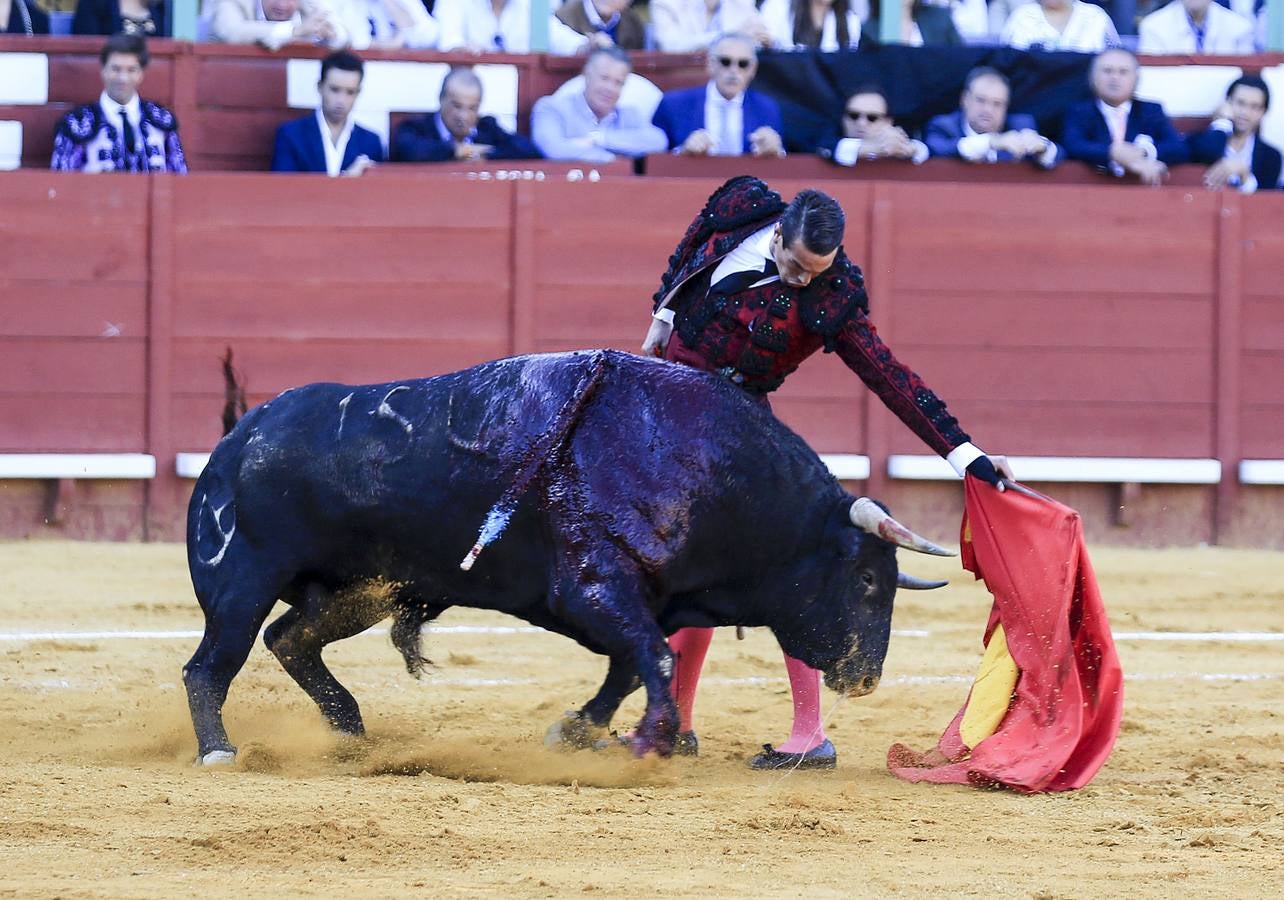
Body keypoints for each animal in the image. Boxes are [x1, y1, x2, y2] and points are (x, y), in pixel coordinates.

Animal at [181, 351, 950, 765]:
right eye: (869, 578)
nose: (866, 678)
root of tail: (241, 436)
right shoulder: (594, 589)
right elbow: (654, 660)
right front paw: (646, 749)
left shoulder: (641, 602)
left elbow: (634, 666)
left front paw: (579, 730)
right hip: (242, 579)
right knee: (212, 663)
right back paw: (221, 750)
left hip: (361, 590)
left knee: (291, 639)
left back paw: (349, 733)